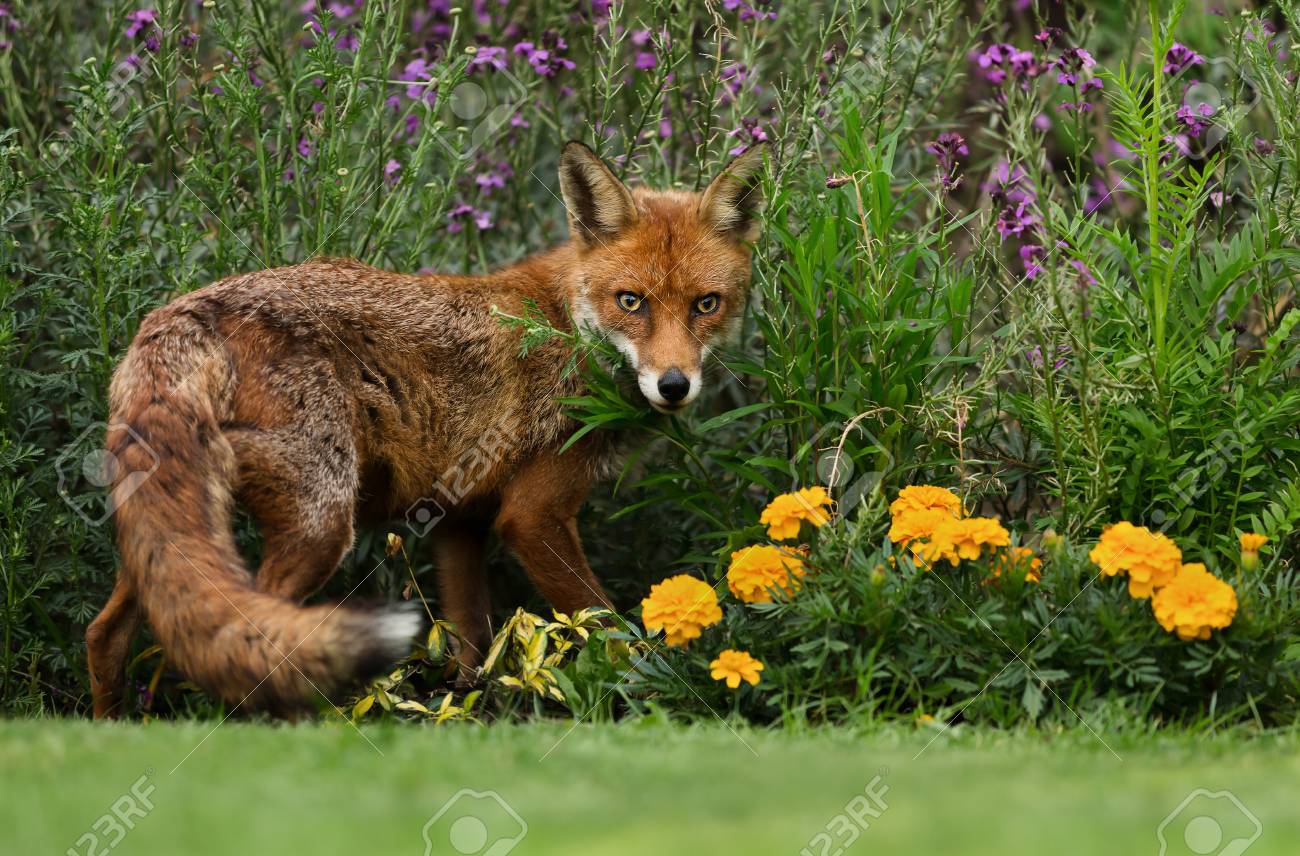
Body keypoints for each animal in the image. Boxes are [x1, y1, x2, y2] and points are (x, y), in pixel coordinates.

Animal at [86, 140, 768, 717]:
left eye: (706, 305)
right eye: (632, 302)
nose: (674, 386)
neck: (567, 326)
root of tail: (181, 312)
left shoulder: (458, 522)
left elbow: (472, 651)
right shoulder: (533, 515)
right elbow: (608, 630)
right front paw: (656, 692)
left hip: (171, 527)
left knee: (108, 632)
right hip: (320, 521)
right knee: (254, 637)